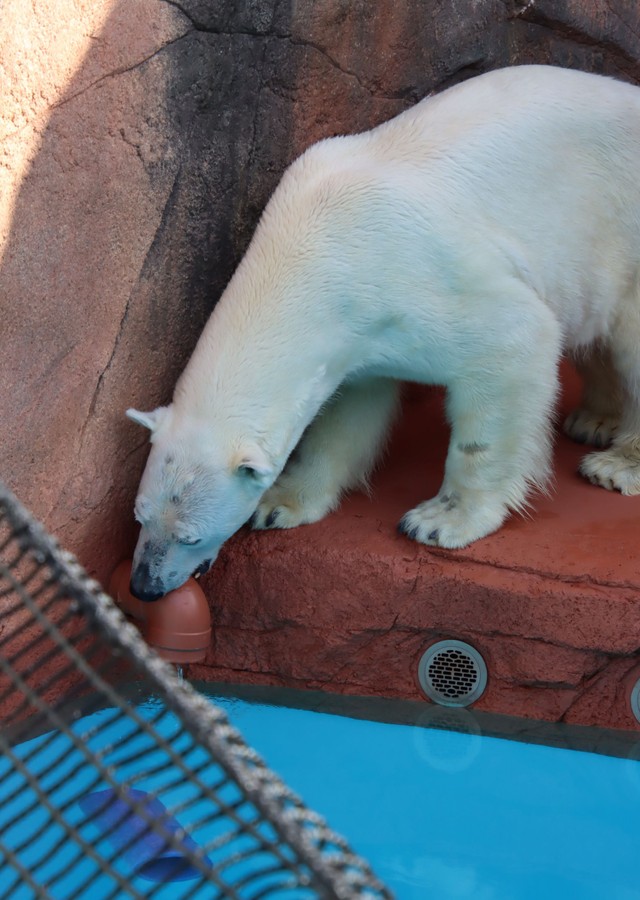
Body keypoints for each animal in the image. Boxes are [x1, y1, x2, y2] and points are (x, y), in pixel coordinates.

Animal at [126, 63, 640, 596]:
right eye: (140, 517)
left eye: (188, 536)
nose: (144, 585)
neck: (311, 247)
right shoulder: (360, 329)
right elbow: (351, 407)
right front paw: (281, 504)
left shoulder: (422, 278)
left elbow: (515, 341)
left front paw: (439, 520)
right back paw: (594, 420)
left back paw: (616, 465)